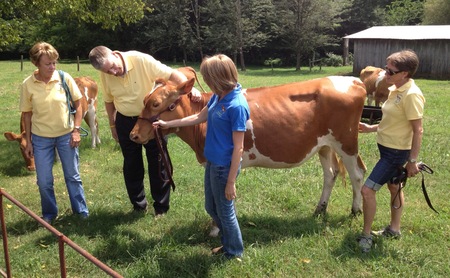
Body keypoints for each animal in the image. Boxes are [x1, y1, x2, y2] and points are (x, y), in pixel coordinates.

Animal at [128, 76, 368, 219]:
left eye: (156, 104)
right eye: (144, 100)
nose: (134, 134)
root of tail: (352, 79)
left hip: (346, 142)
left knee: (357, 174)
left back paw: (355, 209)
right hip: (324, 145)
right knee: (331, 174)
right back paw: (320, 208)